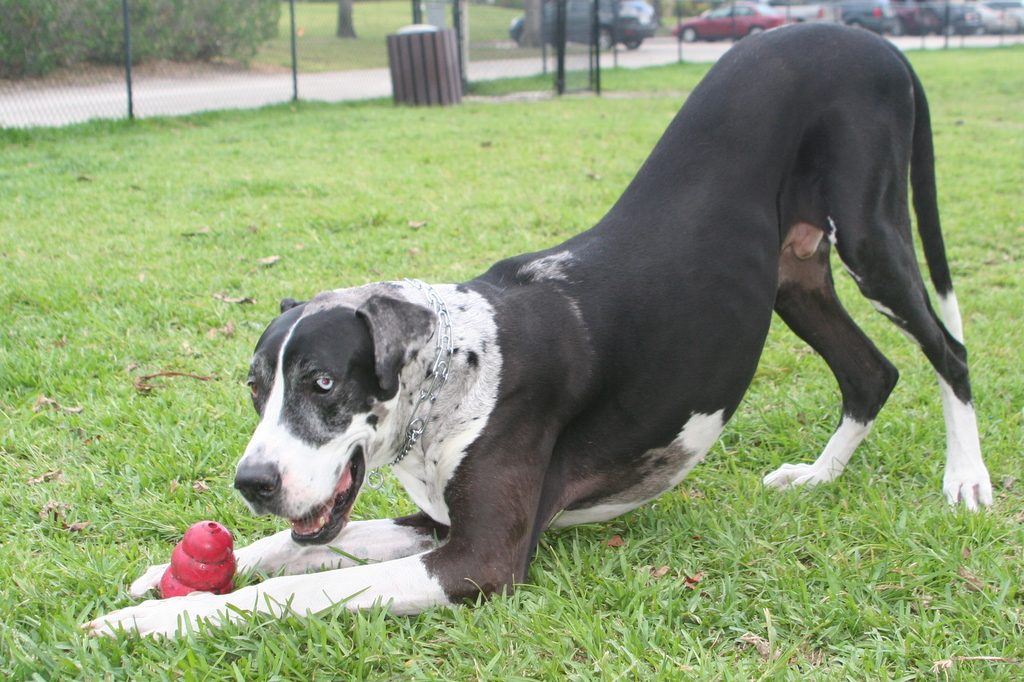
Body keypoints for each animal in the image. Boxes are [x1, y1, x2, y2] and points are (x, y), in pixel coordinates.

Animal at [90, 23, 991, 634]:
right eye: (253, 389)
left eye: (322, 383)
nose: (252, 482)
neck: (453, 366)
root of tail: (869, 35)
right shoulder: (432, 523)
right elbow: (293, 549)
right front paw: (162, 577)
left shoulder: (478, 559)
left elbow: (299, 584)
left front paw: (149, 623)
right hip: (794, 275)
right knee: (872, 371)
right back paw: (818, 475)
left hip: (872, 235)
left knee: (947, 347)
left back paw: (966, 480)